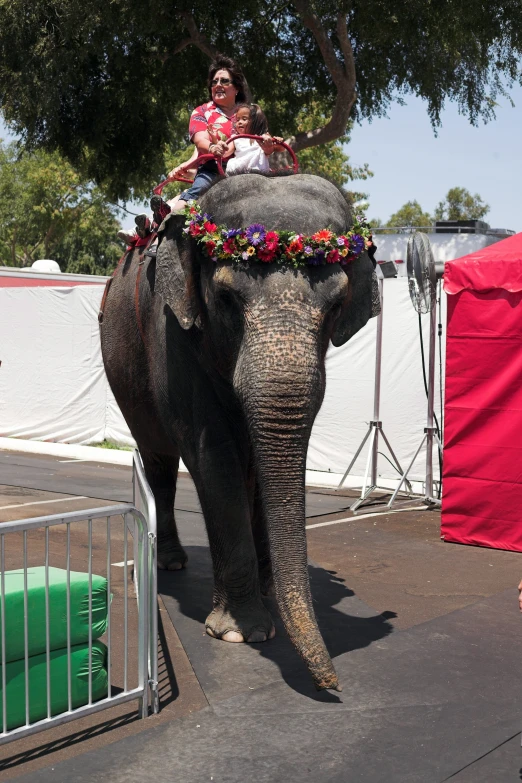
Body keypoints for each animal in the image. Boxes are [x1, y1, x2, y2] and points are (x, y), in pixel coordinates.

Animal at [99, 173, 378, 692]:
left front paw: (267, 598)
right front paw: (240, 633)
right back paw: (170, 562)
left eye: (335, 306)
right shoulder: (172, 329)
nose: (332, 684)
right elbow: (214, 451)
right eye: (227, 299)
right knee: (160, 461)